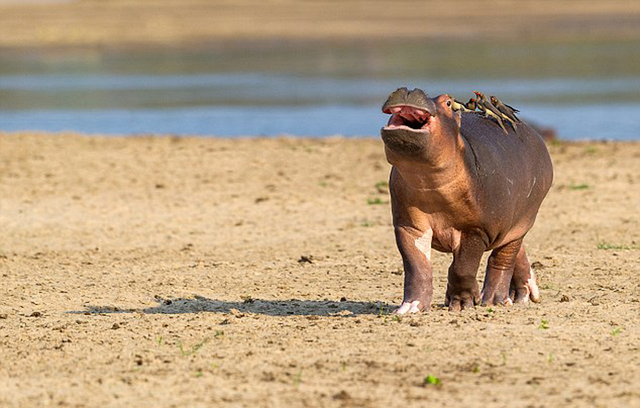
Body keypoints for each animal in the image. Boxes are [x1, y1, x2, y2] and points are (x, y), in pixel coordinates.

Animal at [378, 87, 552, 314]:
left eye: (448, 102)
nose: (409, 90)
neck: (428, 180)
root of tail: (534, 134)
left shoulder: (476, 229)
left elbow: (462, 267)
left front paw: (462, 304)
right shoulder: (409, 226)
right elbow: (417, 266)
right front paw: (410, 308)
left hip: (522, 221)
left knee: (504, 258)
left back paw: (494, 300)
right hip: (506, 222)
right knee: (516, 252)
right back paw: (520, 295)